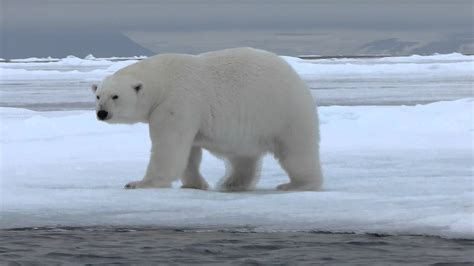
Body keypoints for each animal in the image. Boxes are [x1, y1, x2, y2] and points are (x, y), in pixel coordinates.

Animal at [91, 47, 324, 191]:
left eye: (115, 96)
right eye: (98, 95)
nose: (102, 113)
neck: (162, 81)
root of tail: (298, 80)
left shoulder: (176, 103)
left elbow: (169, 147)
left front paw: (139, 183)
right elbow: (189, 153)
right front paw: (195, 184)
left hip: (284, 113)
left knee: (296, 151)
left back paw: (298, 184)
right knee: (242, 156)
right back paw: (229, 183)